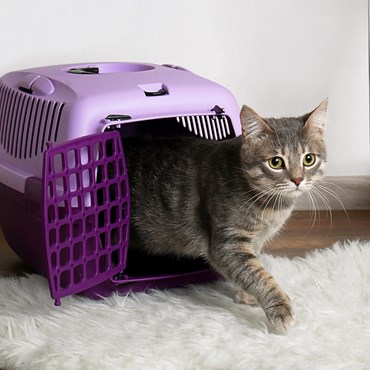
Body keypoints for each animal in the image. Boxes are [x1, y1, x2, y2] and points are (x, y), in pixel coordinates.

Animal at [120, 99, 326, 332]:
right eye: (275, 162)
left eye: (308, 159)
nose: (298, 180)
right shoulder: (227, 244)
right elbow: (260, 276)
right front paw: (279, 308)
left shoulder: (253, 241)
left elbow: (251, 270)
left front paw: (245, 296)